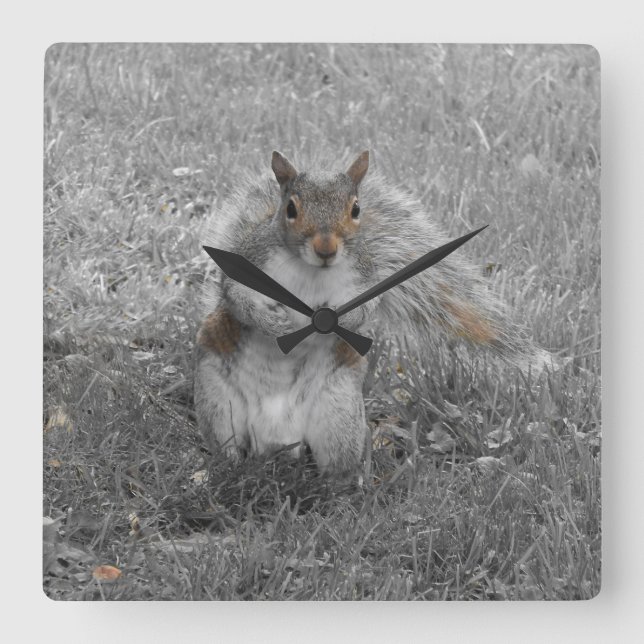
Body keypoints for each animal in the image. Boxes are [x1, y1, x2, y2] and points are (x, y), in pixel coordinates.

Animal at [194, 150, 549, 474]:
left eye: (356, 209)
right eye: (291, 209)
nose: (326, 249)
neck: (312, 270)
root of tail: (276, 438)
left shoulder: (365, 278)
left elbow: (367, 307)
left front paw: (345, 317)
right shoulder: (250, 263)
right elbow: (236, 297)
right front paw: (272, 320)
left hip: (338, 415)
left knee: (334, 466)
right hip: (218, 403)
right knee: (227, 446)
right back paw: (225, 468)